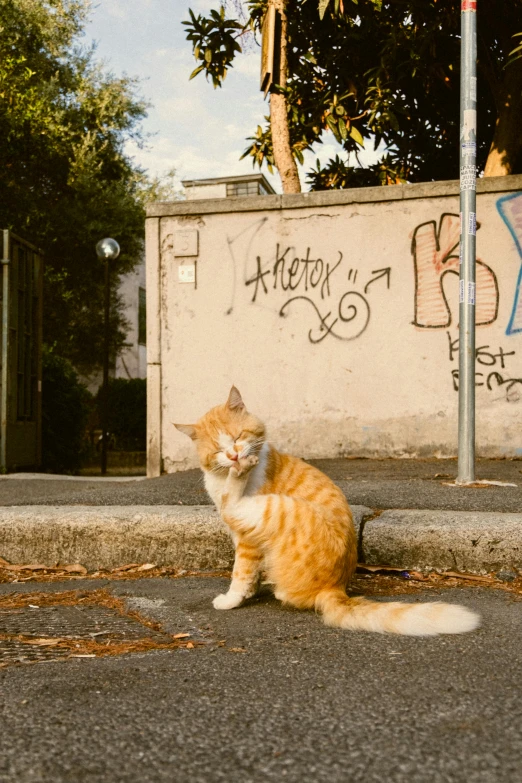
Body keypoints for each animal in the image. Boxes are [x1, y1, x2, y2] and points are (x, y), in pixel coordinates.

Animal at [176, 386, 480, 636]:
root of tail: (334, 588)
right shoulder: (241, 537)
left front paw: (232, 599)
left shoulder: (247, 539)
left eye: (238, 436)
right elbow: (248, 574)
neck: (220, 479)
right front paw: (248, 593)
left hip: (276, 506)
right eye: (218, 450)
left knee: (233, 504)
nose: (234, 456)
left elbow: (241, 573)